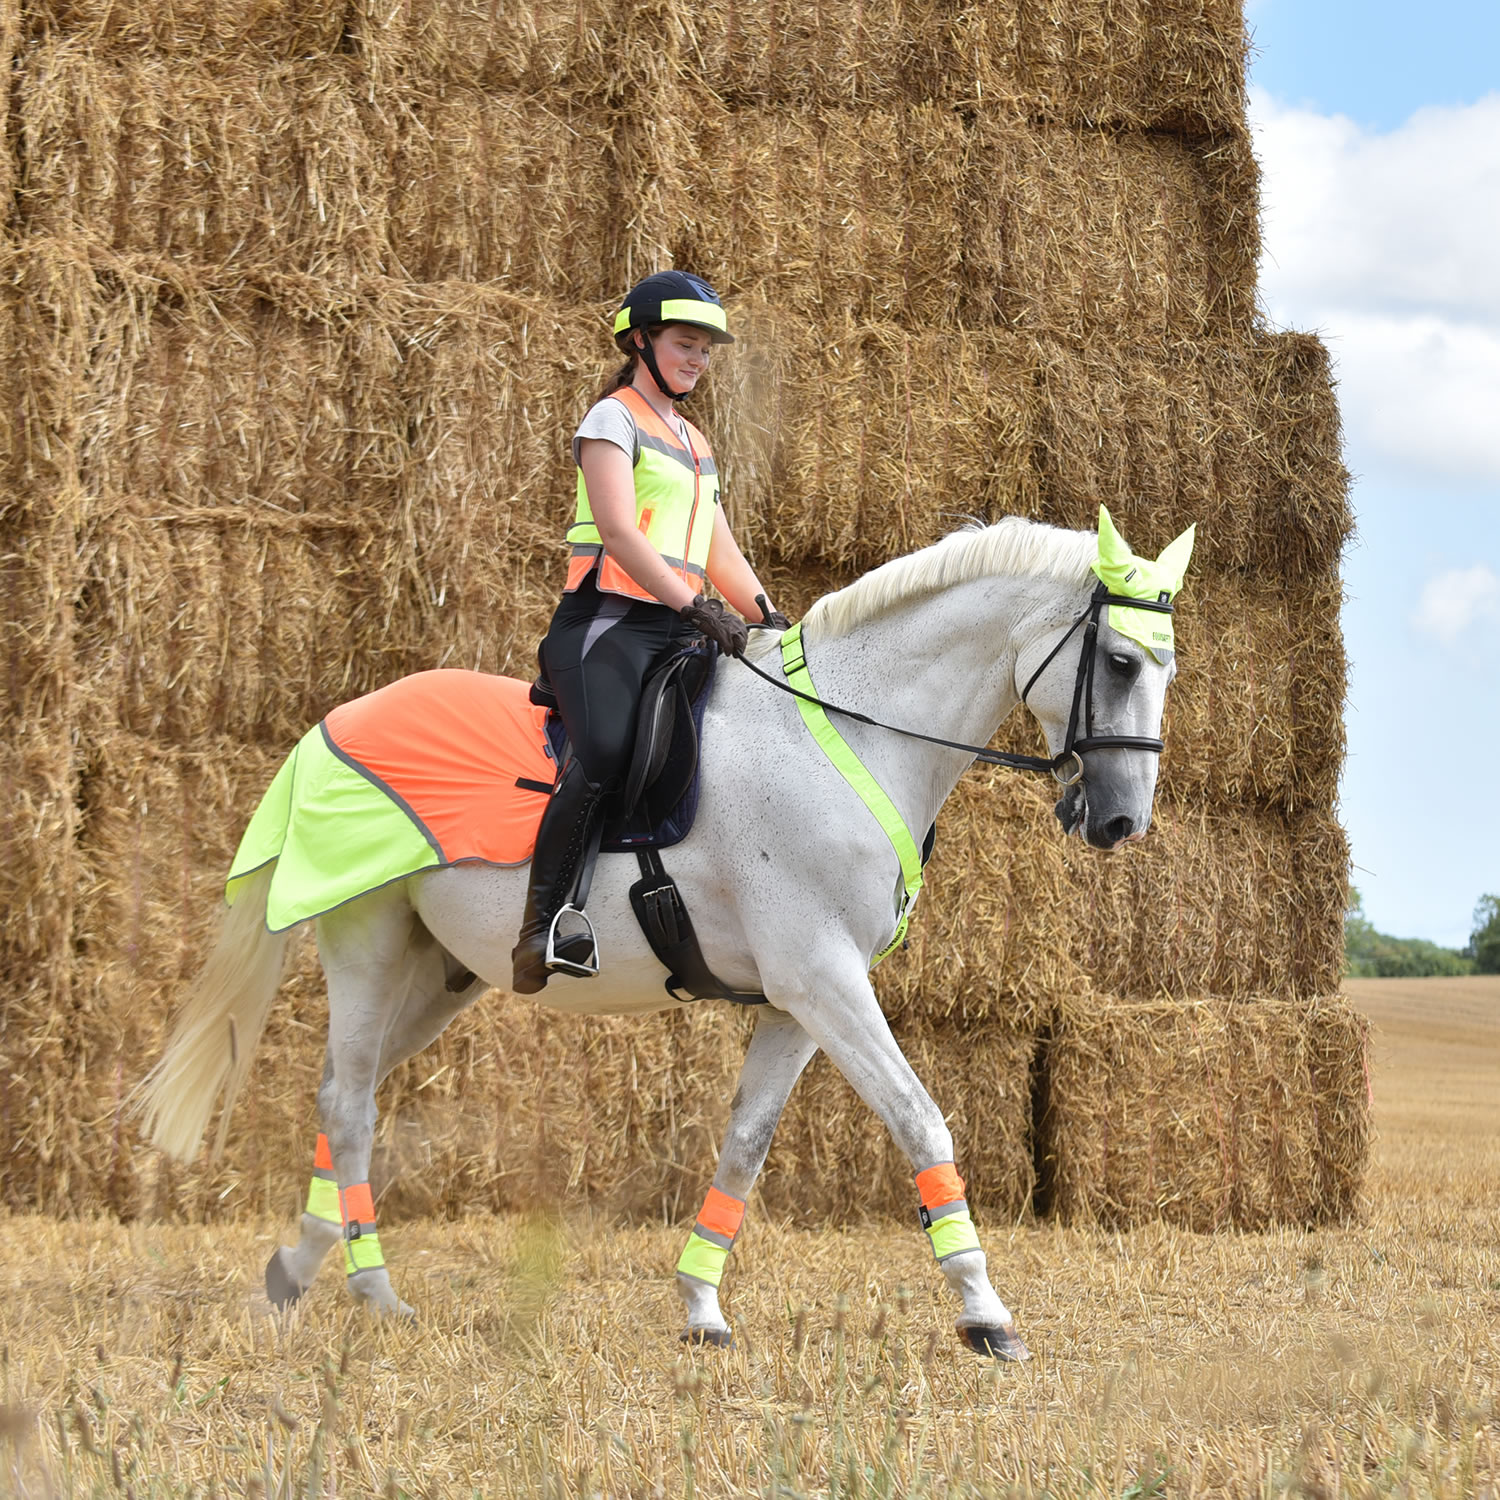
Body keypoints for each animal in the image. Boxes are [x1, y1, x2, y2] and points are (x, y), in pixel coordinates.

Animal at [143, 510, 1194, 1368]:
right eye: (1120, 662)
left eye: (1167, 665)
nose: (1121, 823)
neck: (845, 739)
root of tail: (332, 723)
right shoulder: (824, 980)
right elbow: (919, 1117)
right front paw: (985, 1313)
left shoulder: (800, 1001)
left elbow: (746, 1146)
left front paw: (701, 1309)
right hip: (364, 944)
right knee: (349, 1102)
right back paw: (365, 1289)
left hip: (437, 976)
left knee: (345, 1093)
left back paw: (310, 1271)